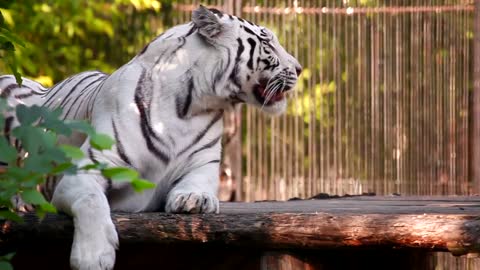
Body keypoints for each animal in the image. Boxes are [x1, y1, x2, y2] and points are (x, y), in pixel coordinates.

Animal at [0, 5, 300, 270]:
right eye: (266, 41)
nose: (298, 68)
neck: (189, 107)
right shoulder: (81, 173)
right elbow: (92, 201)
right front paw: (93, 256)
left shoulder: (203, 166)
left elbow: (197, 186)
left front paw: (193, 199)